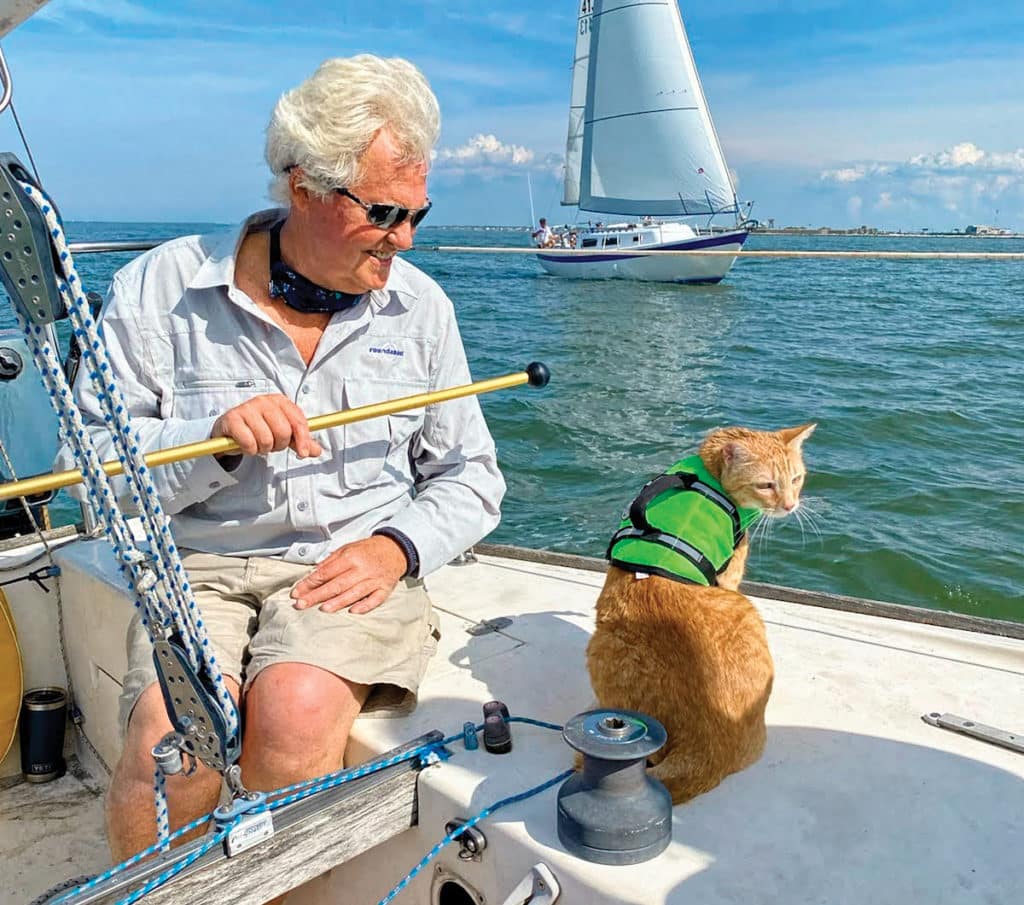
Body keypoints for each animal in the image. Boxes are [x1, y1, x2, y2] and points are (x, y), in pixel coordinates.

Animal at [585, 423, 815, 806]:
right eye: (766, 485)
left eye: (796, 479)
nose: (790, 505)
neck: (710, 472)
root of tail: (708, 747)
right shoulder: (730, 576)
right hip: (743, 610)